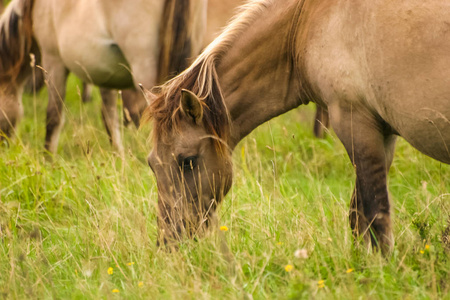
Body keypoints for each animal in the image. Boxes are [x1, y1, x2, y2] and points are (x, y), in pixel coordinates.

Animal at [0, 0, 207, 155]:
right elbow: (109, 118)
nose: (4, 146)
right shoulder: (106, 72)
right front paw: (119, 157)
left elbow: (53, 117)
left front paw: (48, 160)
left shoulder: (54, 61)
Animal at [143, 0, 450, 253]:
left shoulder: (355, 122)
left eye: (187, 161)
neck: (306, 21)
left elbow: (376, 215)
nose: (167, 242)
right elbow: (358, 214)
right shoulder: (381, 134)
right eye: (151, 164)